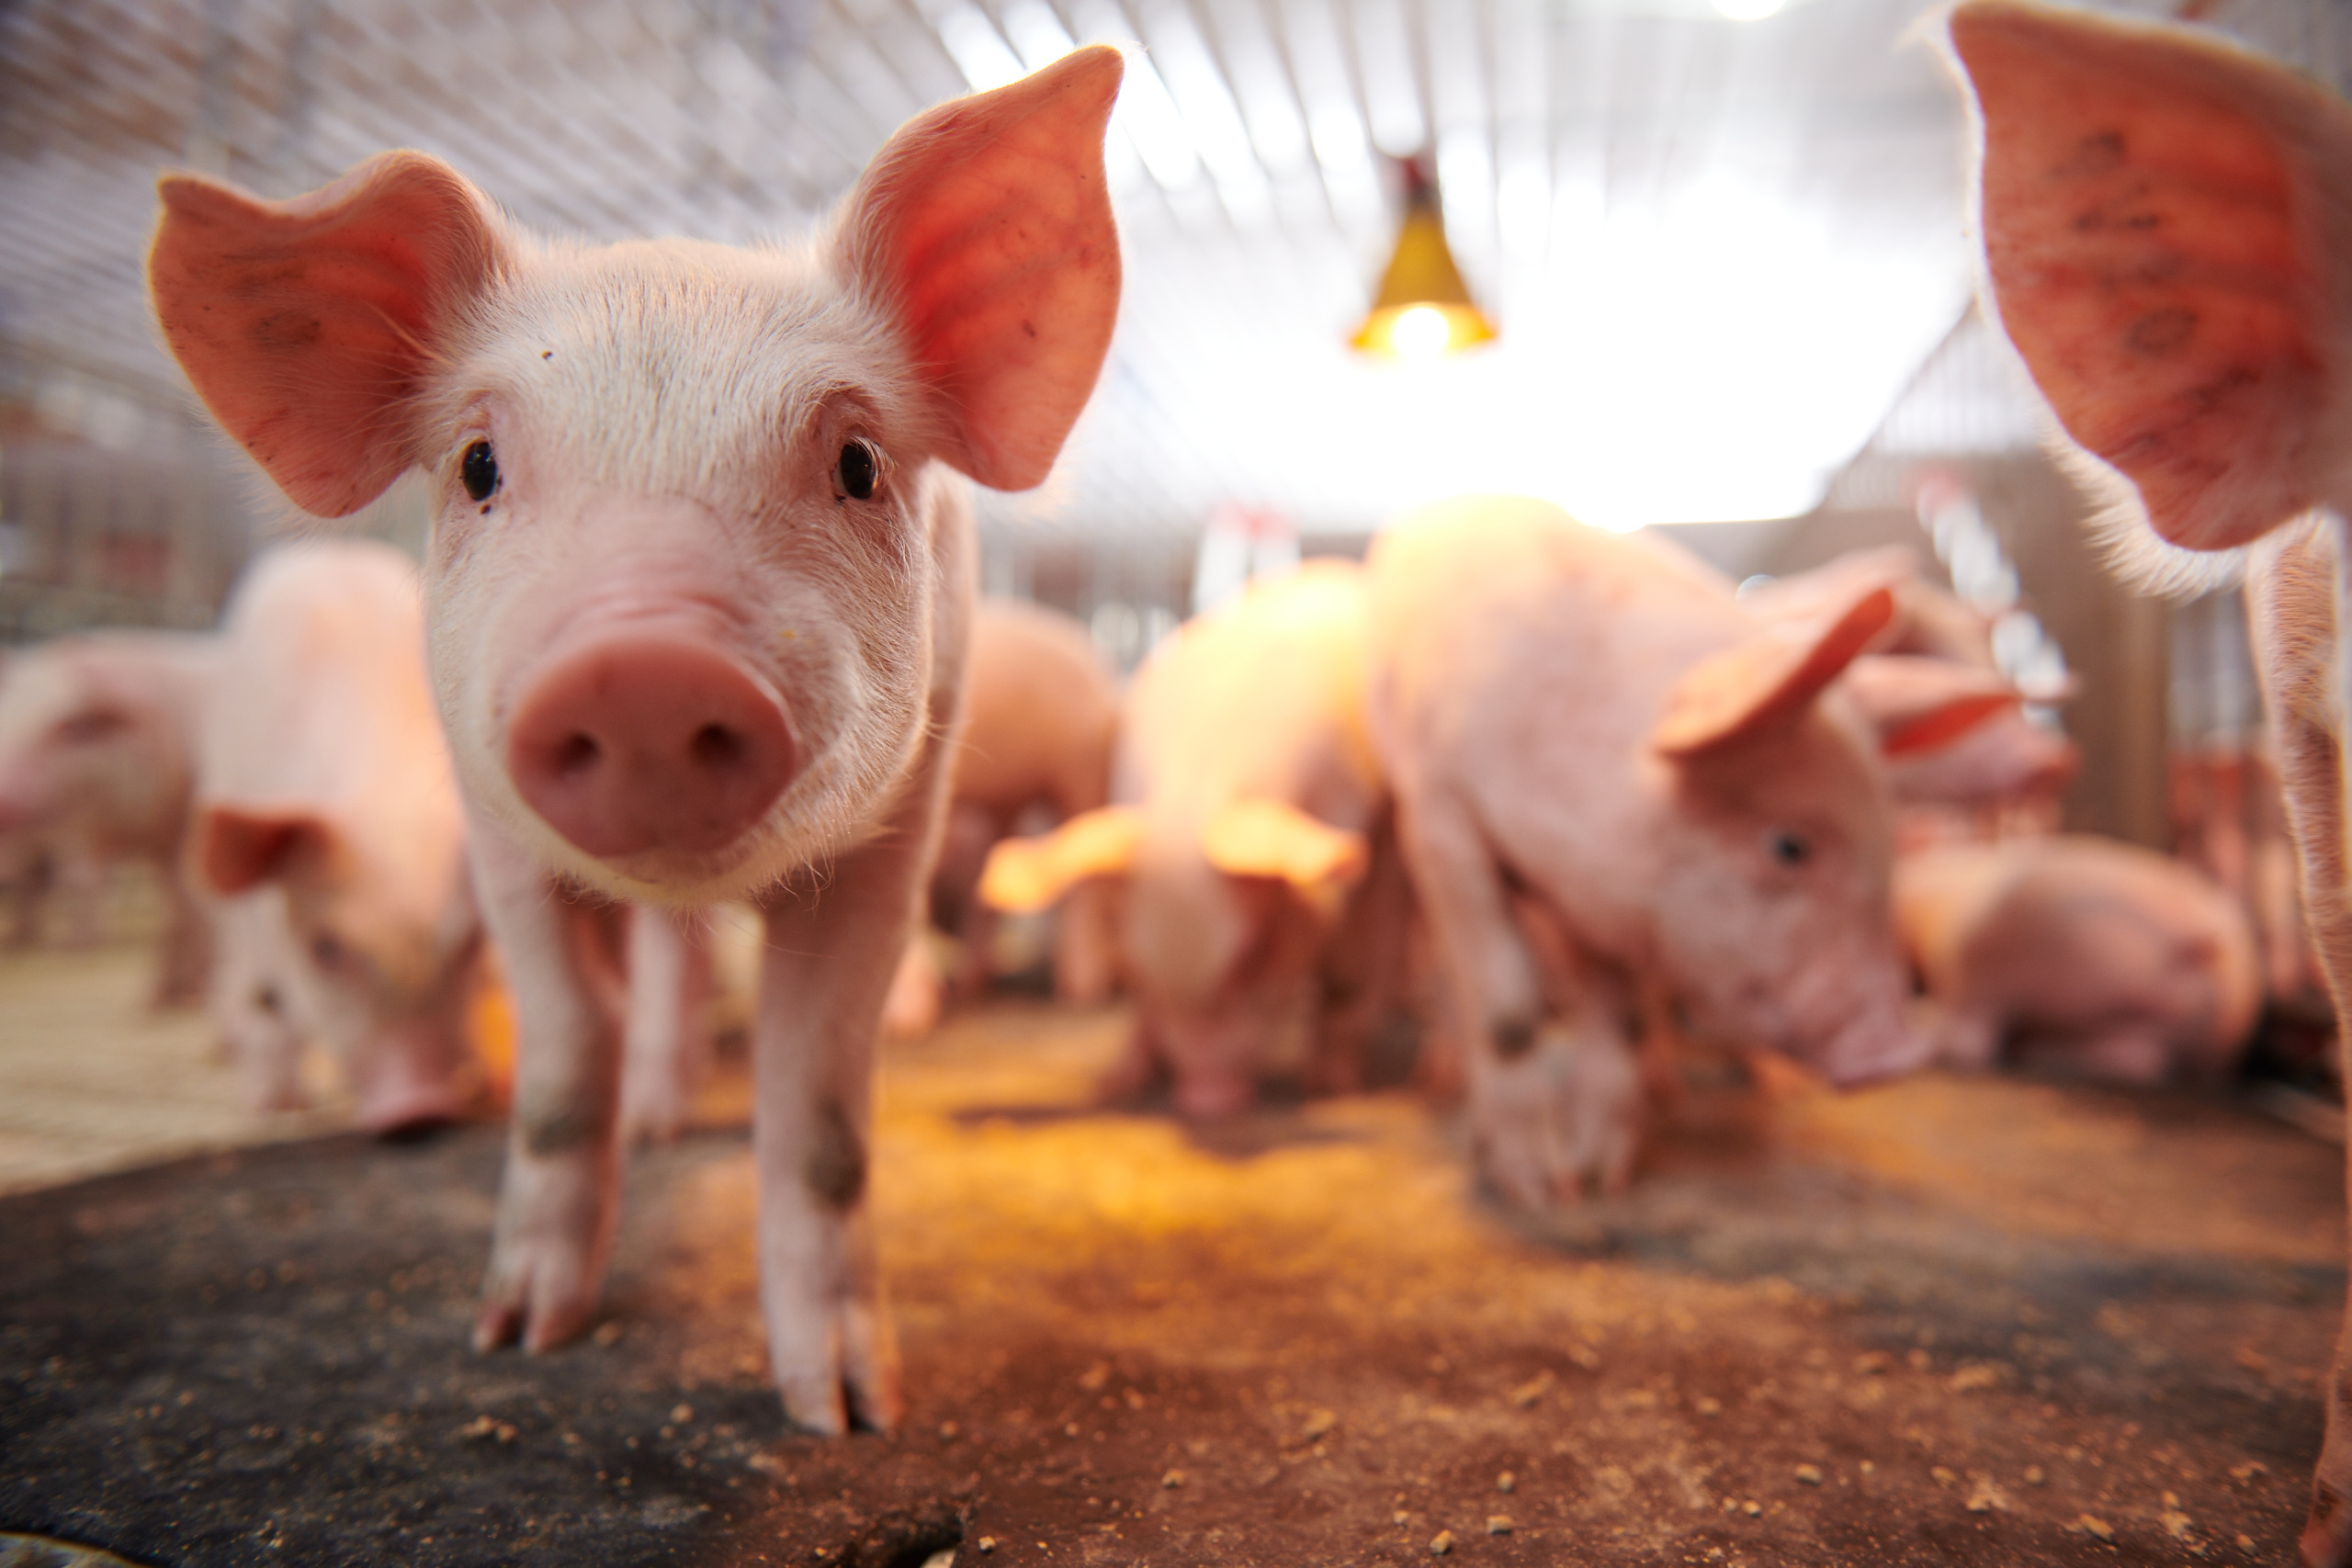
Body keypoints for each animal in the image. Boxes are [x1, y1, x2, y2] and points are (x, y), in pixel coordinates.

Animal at [191, 540, 483, 1133]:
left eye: (470, 943)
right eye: (325, 947)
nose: (421, 1106)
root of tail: (329, 548)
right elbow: (271, 1006)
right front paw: (277, 1109)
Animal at [980, 562, 1404, 1117]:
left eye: (1254, 955)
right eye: (1132, 958)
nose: (1205, 1097)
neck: (1196, 788)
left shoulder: (1364, 838)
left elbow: (1346, 974)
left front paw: (1332, 1089)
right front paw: (1114, 1085)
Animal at [1363, 497, 1998, 1207]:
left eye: (1888, 846)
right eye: (1788, 846)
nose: (1899, 1055)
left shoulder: (1605, 900)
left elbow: (1623, 1015)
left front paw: (1601, 1181)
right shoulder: (1444, 810)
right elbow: (1507, 1006)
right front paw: (1541, 1194)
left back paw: (1667, 1093)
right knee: (1444, 969)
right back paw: (1442, 1085)